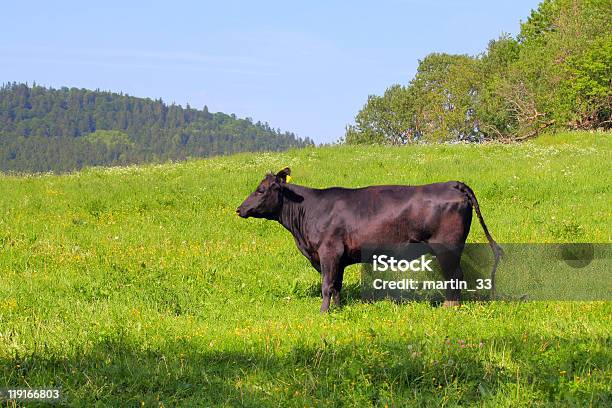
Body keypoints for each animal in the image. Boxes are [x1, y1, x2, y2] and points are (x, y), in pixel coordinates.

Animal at [235, 167, 502, 310]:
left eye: (260, 190)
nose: (239, 209)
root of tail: (452, 183)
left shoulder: (328, 252)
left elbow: (326, 285)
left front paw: (323, 313)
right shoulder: (339, 257)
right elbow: (336, 285)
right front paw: (338, 309)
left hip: (447, 247)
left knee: (455, 276)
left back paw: (450, 307)